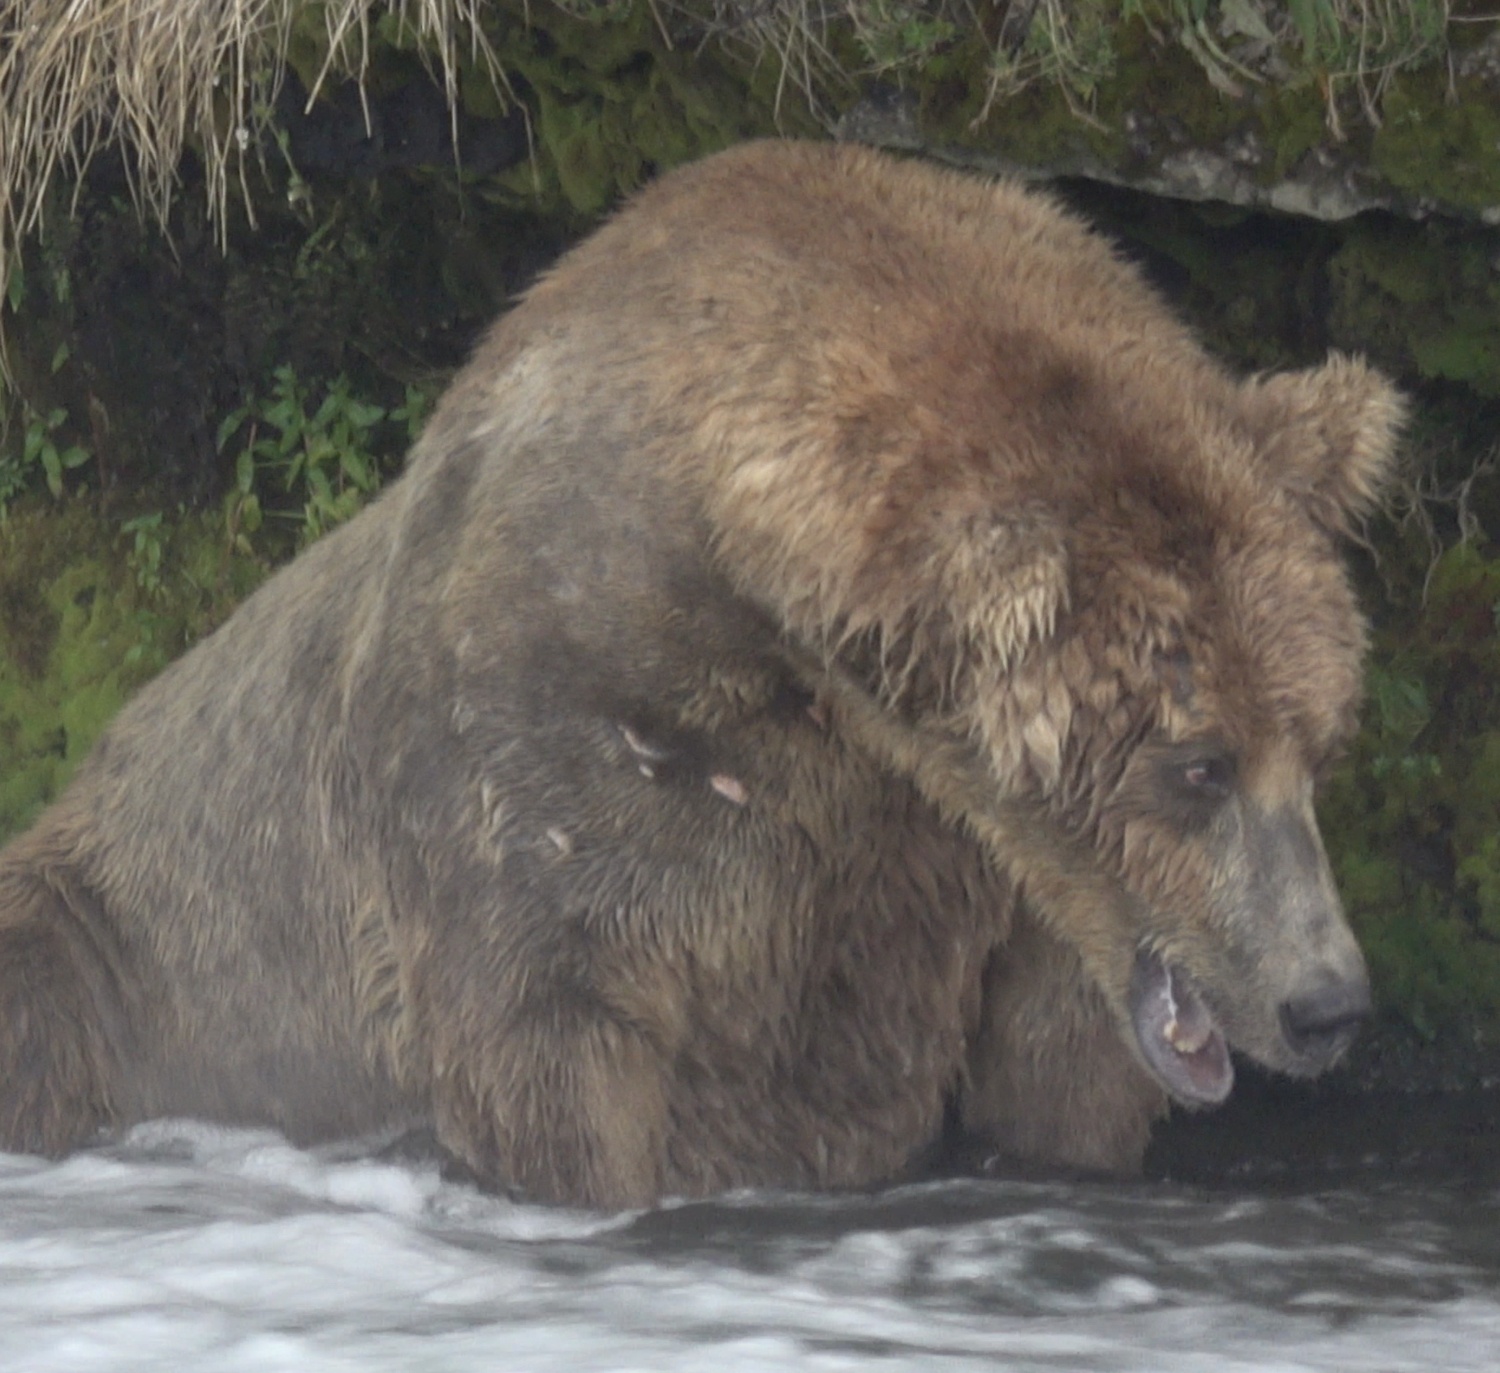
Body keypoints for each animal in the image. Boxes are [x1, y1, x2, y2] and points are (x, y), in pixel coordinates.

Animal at [0, 142, 1404, 1200]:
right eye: (1197, 759)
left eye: (1323, 736)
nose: (1329, 1000)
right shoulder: (552, 753)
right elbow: (549, 1045)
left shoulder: (989, 884)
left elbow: (1057, 1076)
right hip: (119, 937)